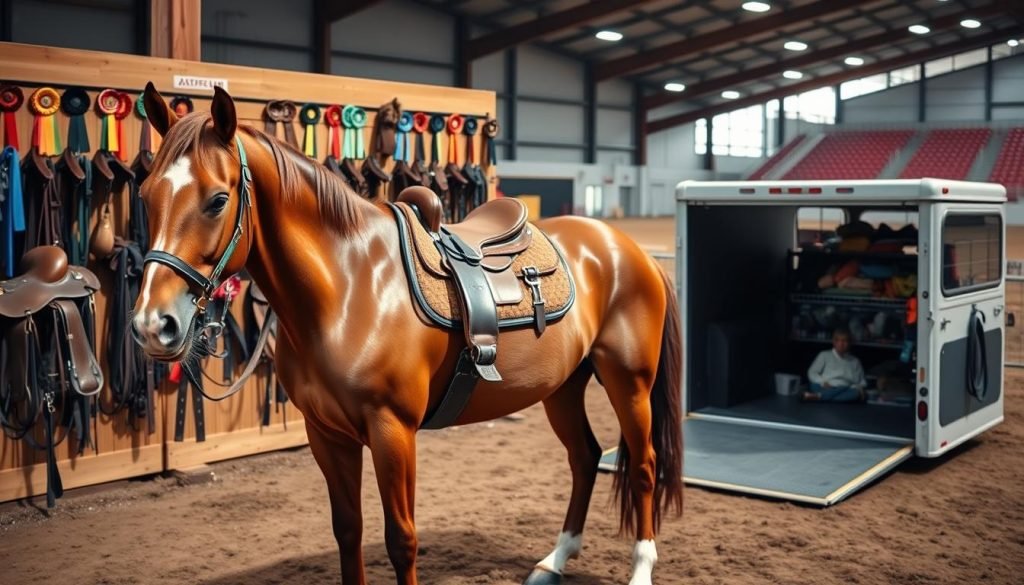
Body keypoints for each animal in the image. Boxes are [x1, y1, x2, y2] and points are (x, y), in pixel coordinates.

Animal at [131, 83, 683, 585]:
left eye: (217, 200)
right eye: (145, 194)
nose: (152, 325)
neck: (349, 287)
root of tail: (626, 248)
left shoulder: (392, 431)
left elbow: (401, 539)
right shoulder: (326, 434)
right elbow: (348, 531)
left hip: (629, 382)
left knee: (643, 466)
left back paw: (640, 569)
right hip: (564, 387)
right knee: (584, 458)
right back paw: (553, 562)